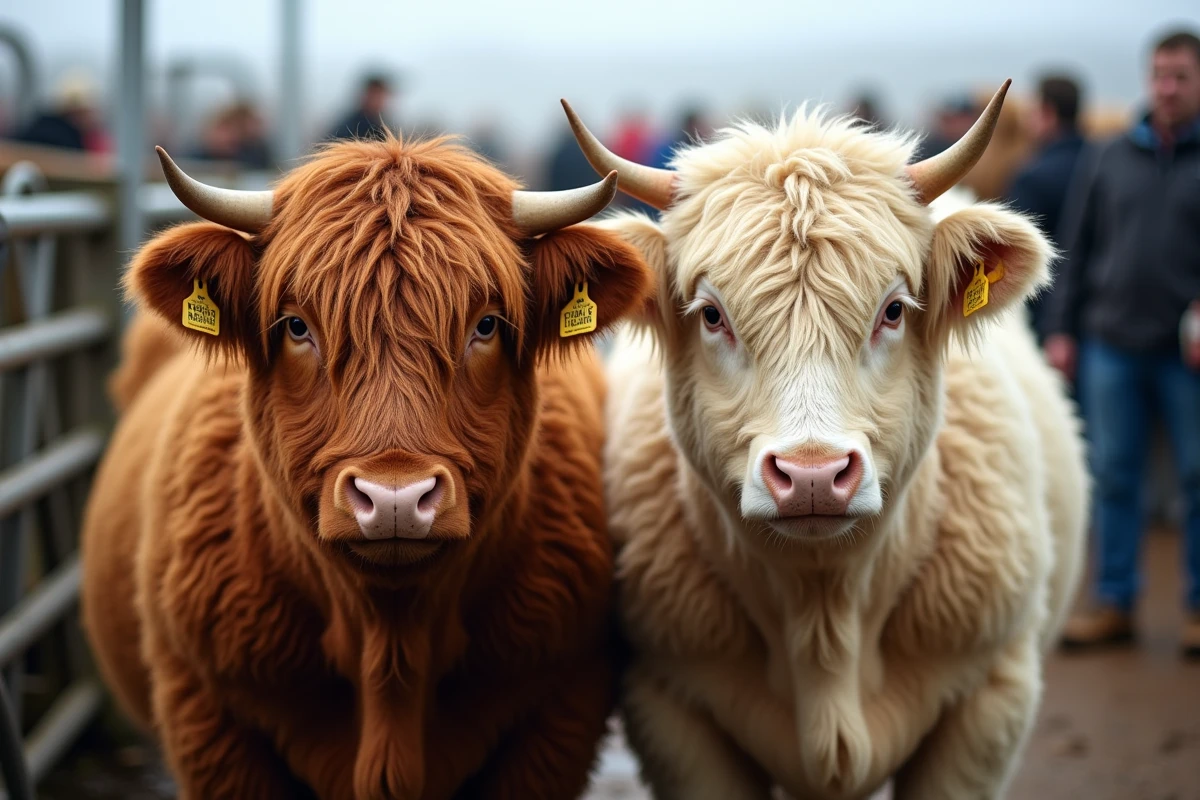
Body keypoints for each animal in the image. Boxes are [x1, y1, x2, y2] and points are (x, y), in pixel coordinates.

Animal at [79, 135, 651, 800]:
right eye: (297, 326)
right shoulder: (210, 716)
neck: (391, 638)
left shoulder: (556, 716)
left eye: (485, 324)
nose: (395, 497)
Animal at [561, 81, 1088, 800]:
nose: (812, 475)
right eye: (712, 315)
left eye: (892, 311)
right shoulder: (670, 705)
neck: (824, 613)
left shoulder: (990, 697)